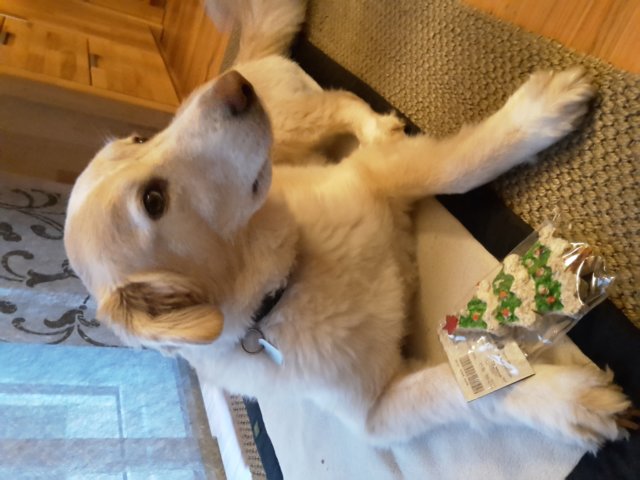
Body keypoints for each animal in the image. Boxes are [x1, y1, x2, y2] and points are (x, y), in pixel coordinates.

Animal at [64, 0, 632, 451]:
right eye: (153, 201)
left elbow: (460, 165)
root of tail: (241, 60)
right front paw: (567, 402)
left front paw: (537, 116)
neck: (292, 278)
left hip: (293, 123)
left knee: (342, 102)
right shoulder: (375, 414)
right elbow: (463, 387)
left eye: (139, 140)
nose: (230, 88)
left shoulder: (375, 175)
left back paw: (378, 125)